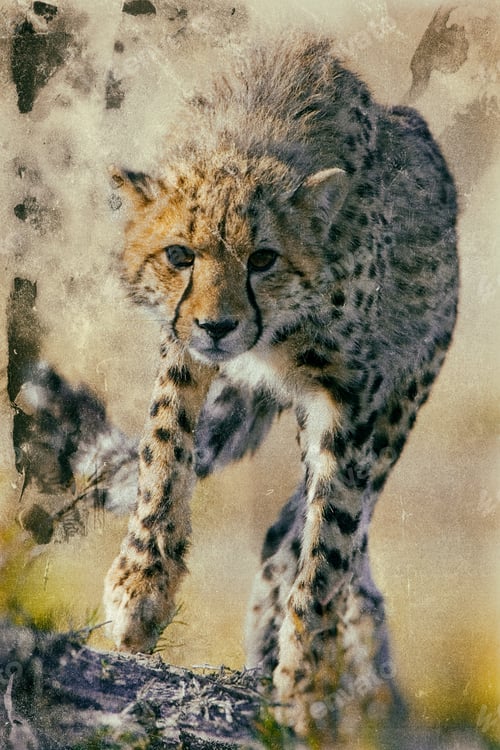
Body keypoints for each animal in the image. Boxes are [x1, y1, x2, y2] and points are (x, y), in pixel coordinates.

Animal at [103, 34, 459, 739]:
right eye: (180, 255)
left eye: (263, 258)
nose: (218, 326)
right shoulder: (182, 350)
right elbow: (163, 452)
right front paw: (140, 589)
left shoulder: (351, 396)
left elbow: (329, 542)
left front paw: (305, 678)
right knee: (295, 530)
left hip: (400, 403)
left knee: (323, 528)